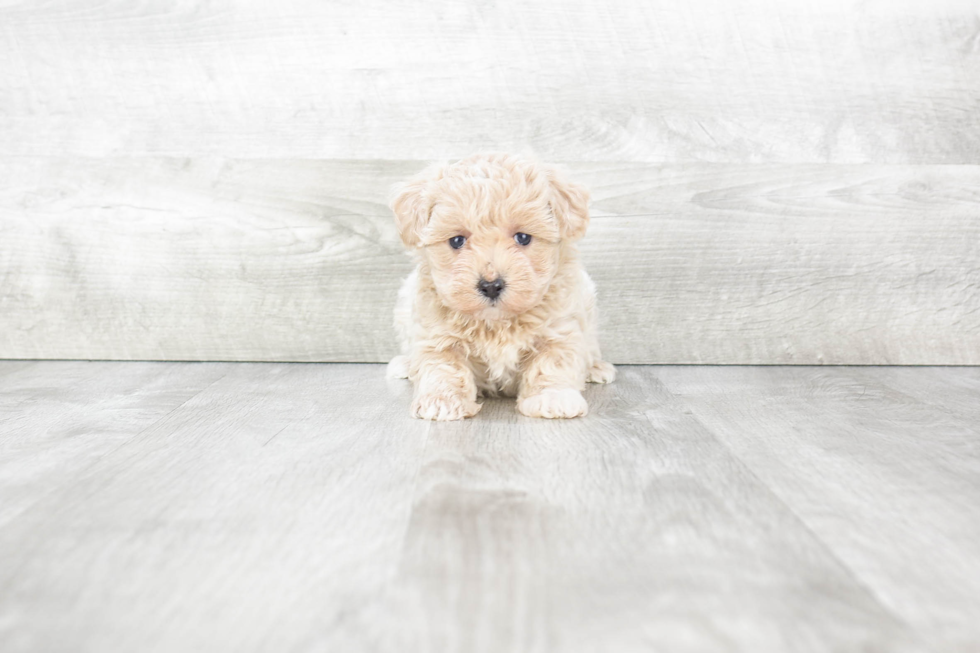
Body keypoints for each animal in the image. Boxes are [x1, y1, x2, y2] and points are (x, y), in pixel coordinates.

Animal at [388, 151, 612, 420]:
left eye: (523, 237)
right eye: (457, 241)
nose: (491, 285)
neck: (496, 323)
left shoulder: (560, 328)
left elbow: (552, 362)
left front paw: (553, 397)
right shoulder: (436, 335)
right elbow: (444, 367)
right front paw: (441, 400)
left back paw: (597, 368)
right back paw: (404, 364)